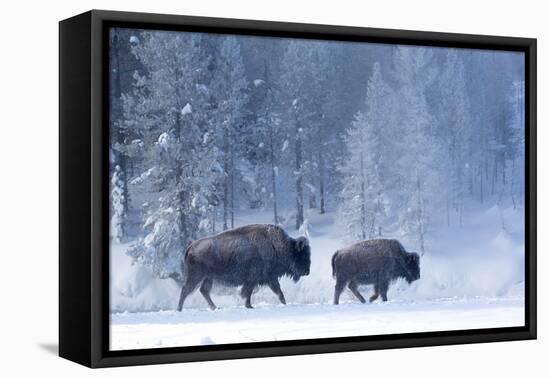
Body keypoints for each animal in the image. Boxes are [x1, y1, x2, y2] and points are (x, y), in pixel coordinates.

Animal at [179, 224, 312, 310]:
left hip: (208, 278)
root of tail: (190, 247)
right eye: (302, 254)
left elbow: (278, 292)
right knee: (186, 290)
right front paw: (249, 306)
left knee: (204, 291)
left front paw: (284, 303)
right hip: (196, 277)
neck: (277, 245)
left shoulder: (269, 278)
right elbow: (248, 292)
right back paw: (179, 309)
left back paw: (215, 307)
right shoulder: (254, 279)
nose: (307, 271)